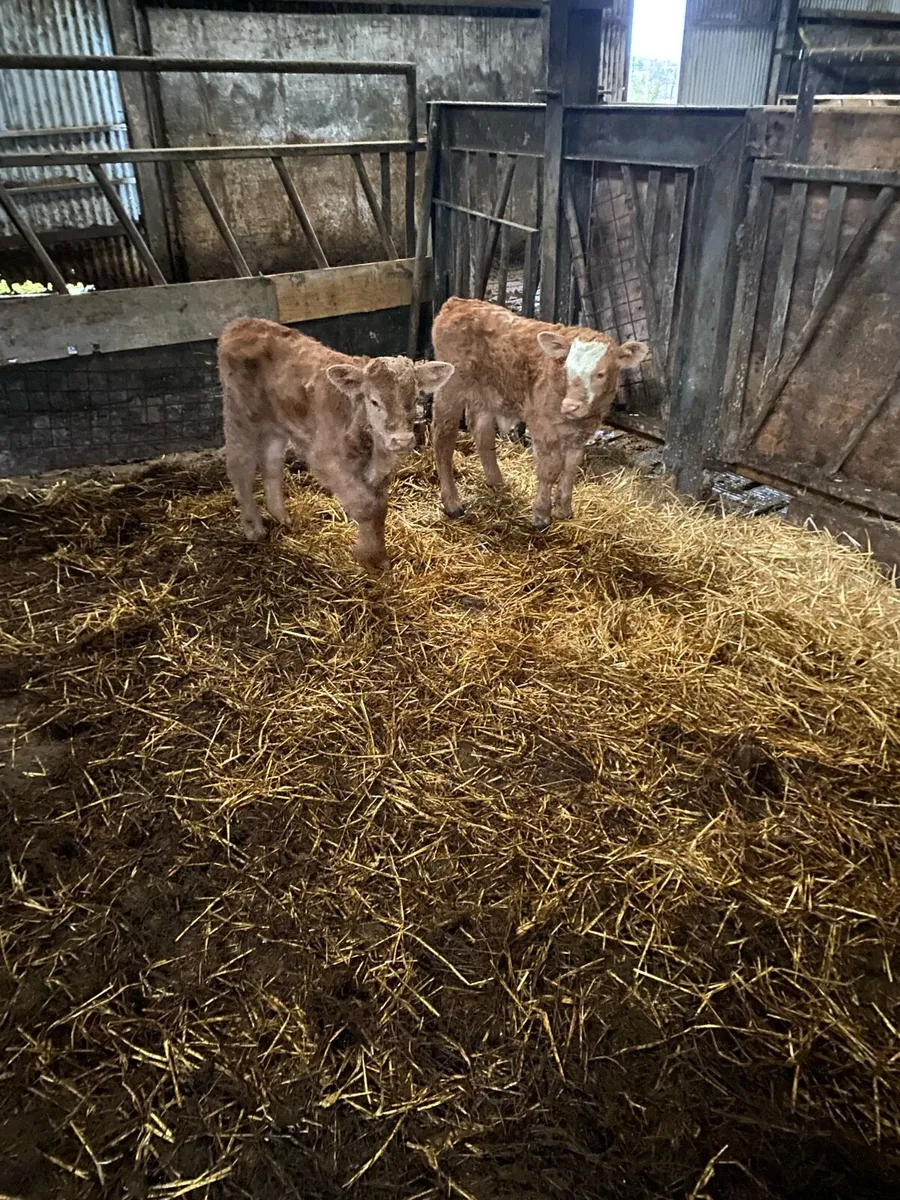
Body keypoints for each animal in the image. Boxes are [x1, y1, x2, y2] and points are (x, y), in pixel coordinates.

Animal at [218, 318, 454, 571]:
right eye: (374, 401)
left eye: (415, 398)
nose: (401, 440)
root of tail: (241, 324)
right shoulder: (326, 460)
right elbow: (367, 506)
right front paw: (367, 556)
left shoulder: (379, 474)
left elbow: (379, 507)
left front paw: (378, 556)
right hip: (240, 415)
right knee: (240, 467)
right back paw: (253, 528)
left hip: (276, 423)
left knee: (271, 463)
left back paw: (281, 516)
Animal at [431, 298, 649, 529]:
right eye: (567, 369)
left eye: (600, 373)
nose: (570, 406)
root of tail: (458, 302)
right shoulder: (543, 426)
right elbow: (550, 469)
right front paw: (541, 516)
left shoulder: (581, 434)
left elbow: (571, 467)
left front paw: (564, 509)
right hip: (450, 388)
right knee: (443, 439)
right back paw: (452, 503)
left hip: (485, 393)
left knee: (482, 433)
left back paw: (496, 482)